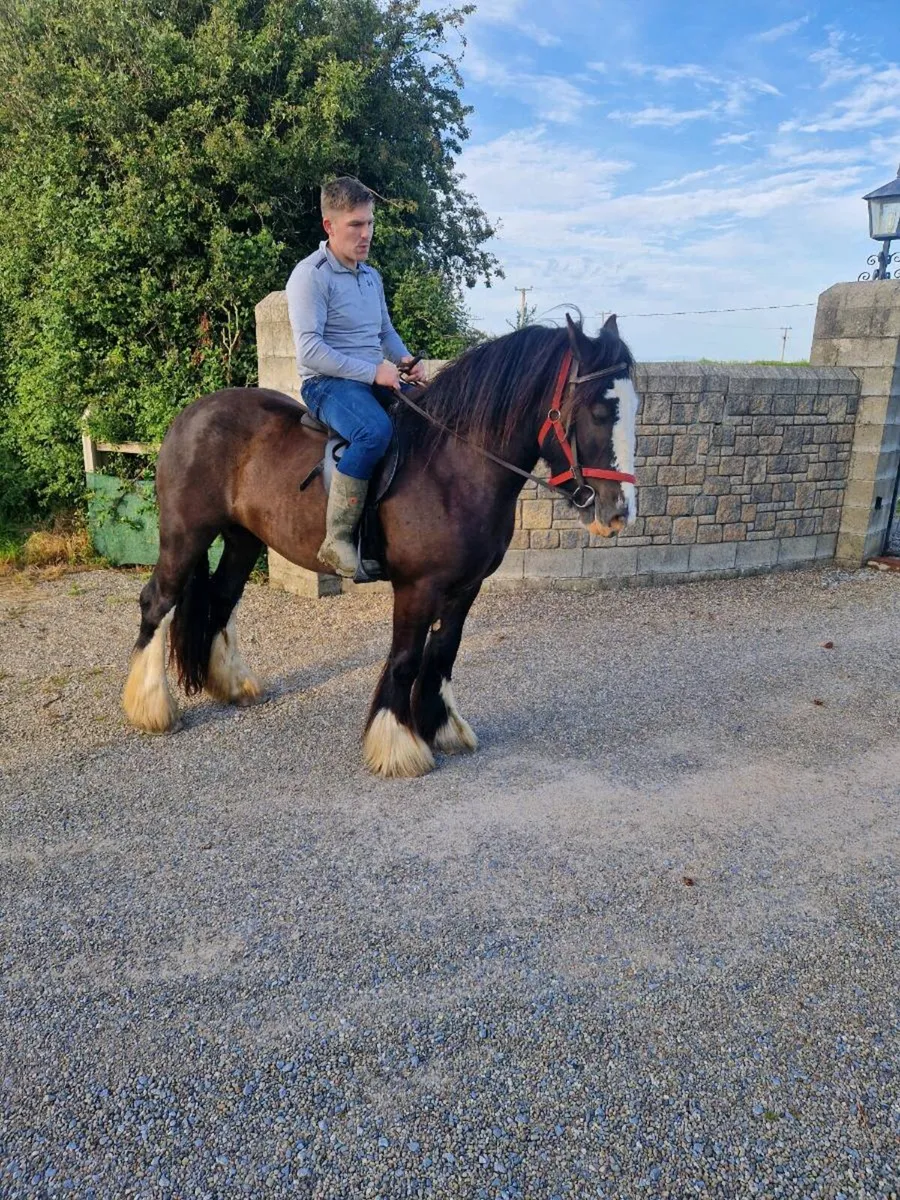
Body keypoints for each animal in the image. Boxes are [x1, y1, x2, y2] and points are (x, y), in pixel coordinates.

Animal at [121, 313, 640, 777]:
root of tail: (190, 415)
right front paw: (398, 745)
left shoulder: (465, 587)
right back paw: (151, 708)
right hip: (186, 534)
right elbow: (406, 658)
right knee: (158, 601)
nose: (618, 512)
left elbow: (444, 652)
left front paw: (440, 727)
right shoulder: (417, 587)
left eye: (635, 410)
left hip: (242, 539)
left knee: (223, 600)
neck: (453, 466)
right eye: (598, 411)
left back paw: (234, 686)